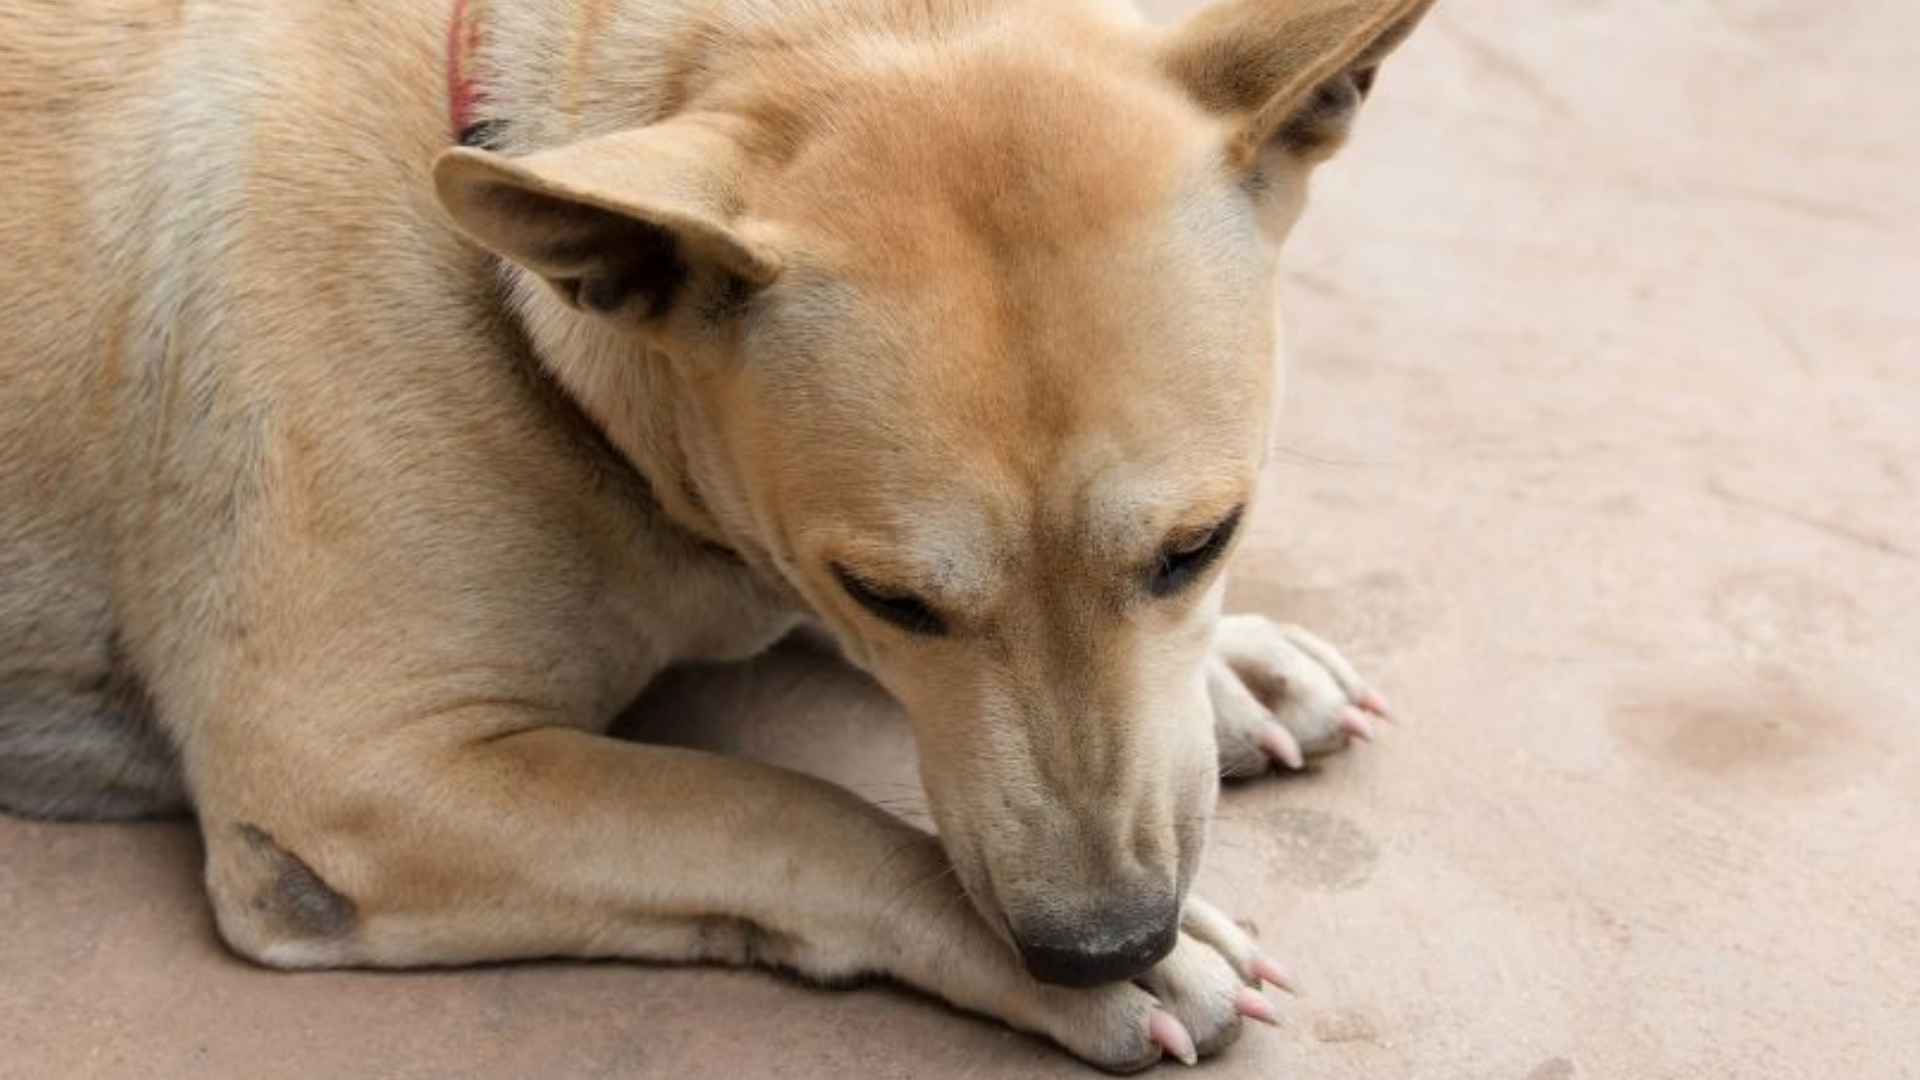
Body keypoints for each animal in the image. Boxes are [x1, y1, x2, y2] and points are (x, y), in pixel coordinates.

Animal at [0, 0, 1436, 1060]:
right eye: (892, 596)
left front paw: (1234, 668)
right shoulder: (344, 778)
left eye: (1203, 543)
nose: (1105, 944)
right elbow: (774, 806)